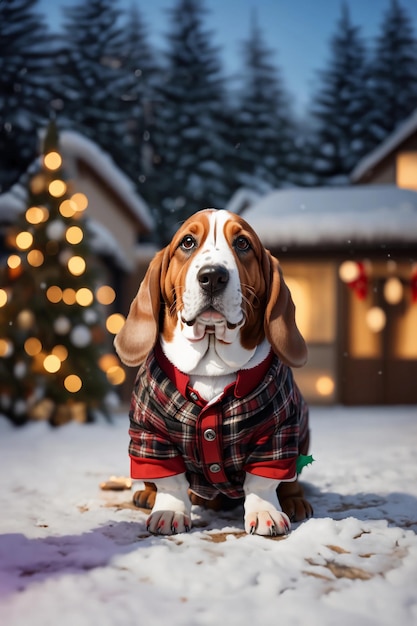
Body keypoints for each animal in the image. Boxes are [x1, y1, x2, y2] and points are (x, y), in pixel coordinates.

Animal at [114, 207, 312, 532]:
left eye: (243, 244)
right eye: (187, 242)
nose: (212, 277)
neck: (212, 366)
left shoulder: (278, 431)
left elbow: (262, 482)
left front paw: (265, 512)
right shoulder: (149, 433)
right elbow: (170, 481)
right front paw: (169, 511)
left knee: (291, 479)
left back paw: (295, 500)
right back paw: (147, 494)